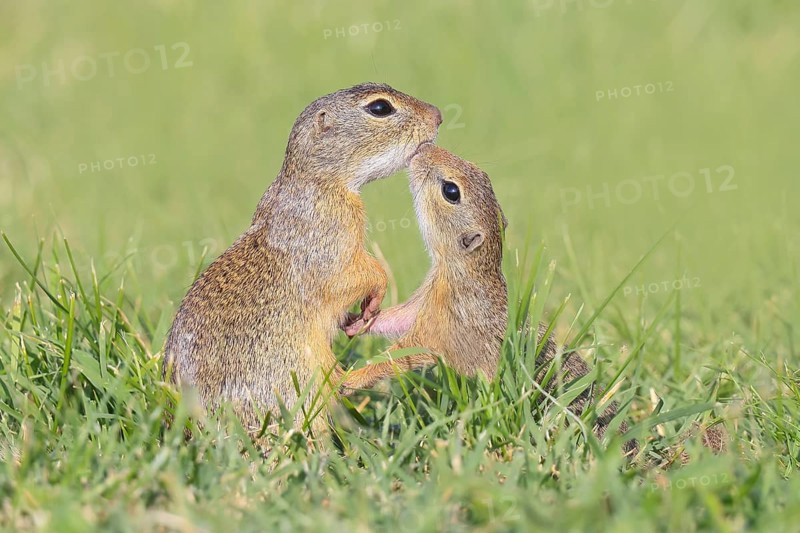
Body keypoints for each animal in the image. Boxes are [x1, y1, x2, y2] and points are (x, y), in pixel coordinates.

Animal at [163, 82, 442, 438]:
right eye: (380, 108)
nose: (438, 114)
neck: (317, 181)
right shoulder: (330, 245)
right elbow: (359, 275)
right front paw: (372, 301)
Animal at [340, 144, 634, 452]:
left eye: (451, 191)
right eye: (479, 170)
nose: (425, 147)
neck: (463, 271)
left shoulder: (439, 325)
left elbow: (404, 353)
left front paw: (351, 379)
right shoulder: (425, 301)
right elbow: (397, 318)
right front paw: (355, 321)